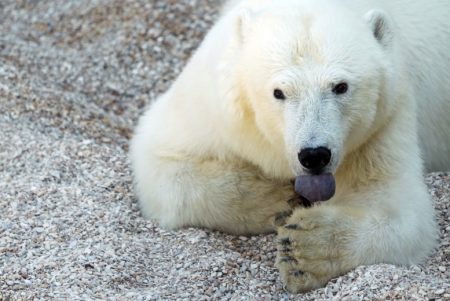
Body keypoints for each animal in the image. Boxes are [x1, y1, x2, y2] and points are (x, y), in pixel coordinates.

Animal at [130, 0, 450, 292]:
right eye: (278, 92)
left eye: (340, 86)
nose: (315, 155)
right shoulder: (215, 107)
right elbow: (160, 163)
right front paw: (279, 198)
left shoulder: (384, 120)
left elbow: (400, 210)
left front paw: (305, 248)